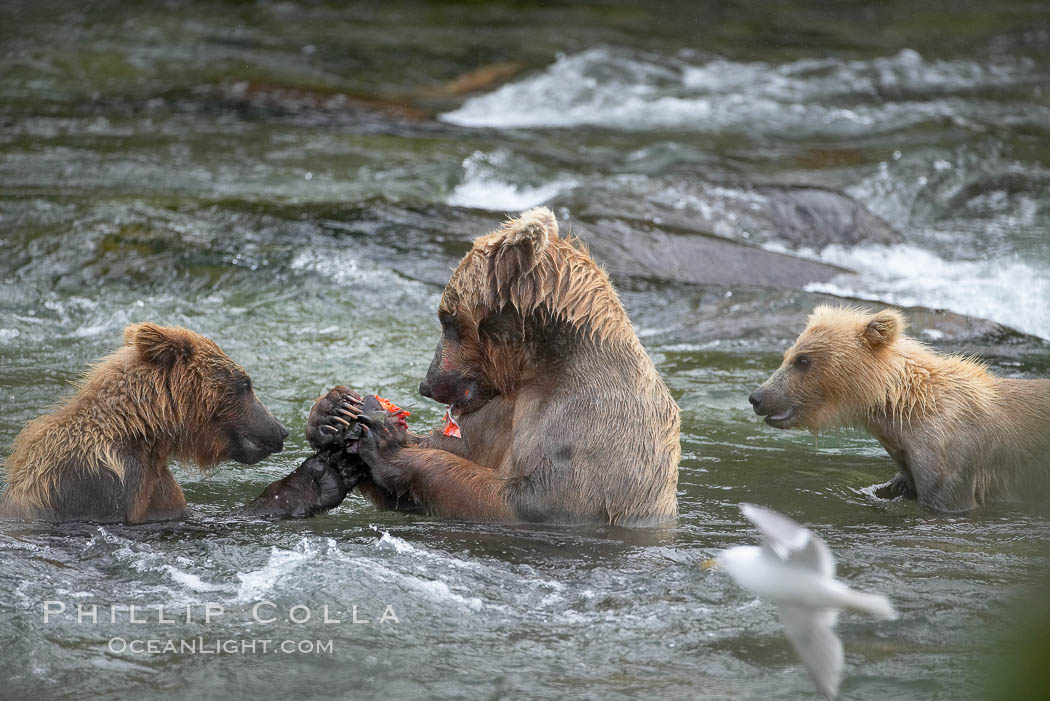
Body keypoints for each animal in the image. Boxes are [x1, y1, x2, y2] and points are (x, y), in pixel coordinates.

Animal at [283, 205, 684, 522]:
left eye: (446, 317)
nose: (426, 383)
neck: (545, 368)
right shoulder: (503, 410)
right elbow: (458, 449)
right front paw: (333, 411)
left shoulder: (591, 426)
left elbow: (522, 498)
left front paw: (388, 446)